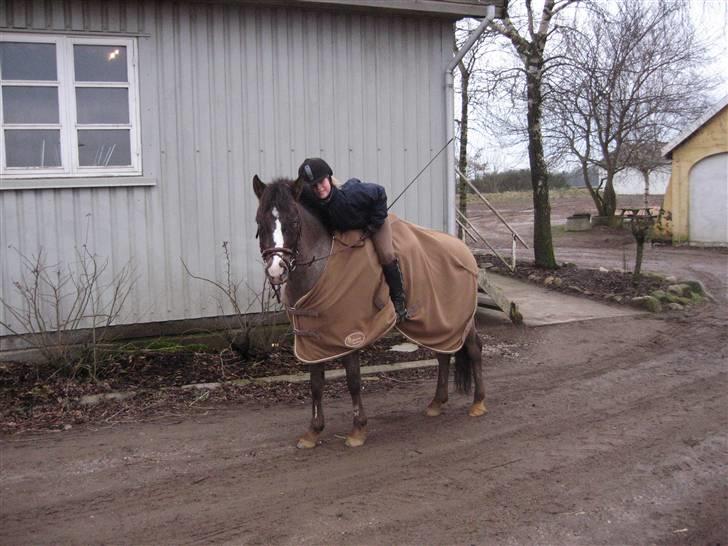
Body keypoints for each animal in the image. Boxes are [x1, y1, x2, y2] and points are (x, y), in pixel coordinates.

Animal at [253, 174, 486, 446]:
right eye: (260, 221)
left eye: (293, 220)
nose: (276, 270)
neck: (324, 266)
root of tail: (464, 250)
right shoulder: (313, 341)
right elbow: (316, 384)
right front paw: (313, 431)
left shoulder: (350, 335)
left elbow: (353, 381)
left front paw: (357, 429)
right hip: (438, 321)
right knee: (443, 354)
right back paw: (436, 403)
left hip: (461, 318)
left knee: (474, 349)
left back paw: (478, 403)